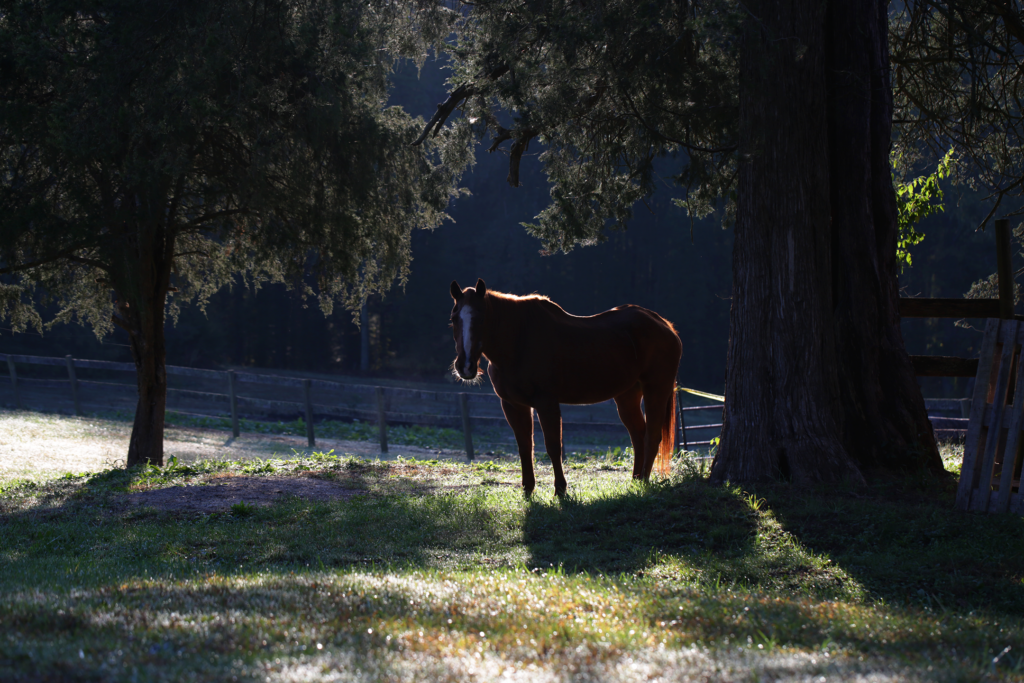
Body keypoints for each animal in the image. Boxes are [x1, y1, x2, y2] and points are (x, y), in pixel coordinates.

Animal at [448, 278, 679, 497]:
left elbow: (553, 446)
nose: (465, 366)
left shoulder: (546, 403)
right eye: (453, 319)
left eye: (481, 317)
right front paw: (528, 489)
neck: (519, 342)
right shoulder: (513, 405)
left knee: (652, 436)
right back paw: (635, 481)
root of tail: (665, 325)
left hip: (656, 390)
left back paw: (645, 482)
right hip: (627, 396)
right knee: (638, 435)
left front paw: (560, 490)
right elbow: (525, 446)